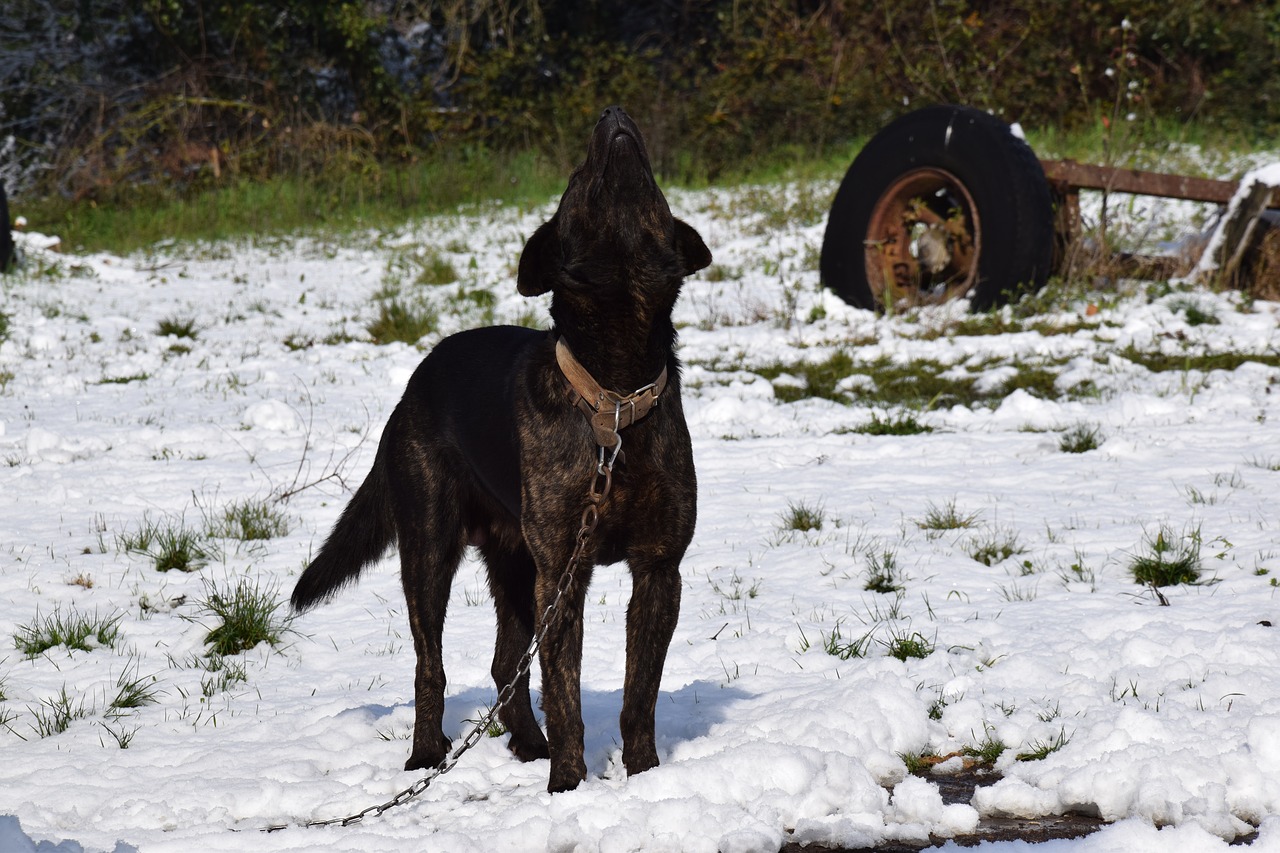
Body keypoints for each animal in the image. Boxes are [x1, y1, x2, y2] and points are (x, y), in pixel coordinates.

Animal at [289, 106, 711, 788]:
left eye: (651, 186)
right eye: (578, 178)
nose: (612, 115)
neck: (615, 395)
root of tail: (414, 384)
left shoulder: (657, 569)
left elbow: (638, 694)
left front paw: (644, 775)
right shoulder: (564, 572)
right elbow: (565, 692)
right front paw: (568, 784)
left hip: (515, 565)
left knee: (503, 663)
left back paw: (526, 743)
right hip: (431, 549)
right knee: (430, 664)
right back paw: (427, 753)